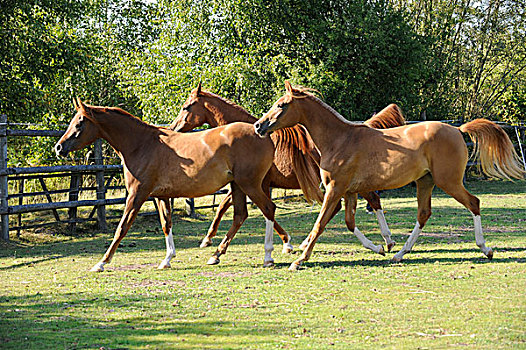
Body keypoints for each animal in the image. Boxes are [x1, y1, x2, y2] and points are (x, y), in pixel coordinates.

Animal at [56, 98, 292, 270]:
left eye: (79, 122)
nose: (58, 147)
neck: (142, 144)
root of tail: (262, 134)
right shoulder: (161, 196)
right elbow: (166, 224)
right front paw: (167, 259)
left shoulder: (137, 194)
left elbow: (122, 227)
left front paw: (102, 263)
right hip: (238, 186)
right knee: (240, 215)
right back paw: (216, 255)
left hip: (249, 184)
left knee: (268, 209)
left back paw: (269, 256)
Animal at [171, 85, 406, 254]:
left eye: (186, 107)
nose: (174, 128)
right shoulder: (249, 183)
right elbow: (225, 206)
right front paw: (208, 239)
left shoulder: (257, 183)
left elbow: (253, 208)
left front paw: (287, 243)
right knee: (363, 203)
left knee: (371, 200)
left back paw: (386, 240)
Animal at [255, 82, 524, 270]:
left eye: (282, 105)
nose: (259, 126)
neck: (340, 139)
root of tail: (457, 129)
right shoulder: (349, 192)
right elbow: (348, 222)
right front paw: (379, 247)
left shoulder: (335, 189)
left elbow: (320, 223)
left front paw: (299, 259)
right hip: (426, 181)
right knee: (424, 214)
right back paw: (399, 254)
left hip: (448, 181)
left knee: (474, 203)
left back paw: (486, 249)